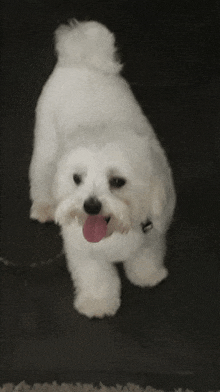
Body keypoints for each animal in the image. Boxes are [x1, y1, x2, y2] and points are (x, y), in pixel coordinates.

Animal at [29, 19, 176, 316]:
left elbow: (146, 254)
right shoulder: (82, 248)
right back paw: (44, 206)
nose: (91, 206)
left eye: (117, 181)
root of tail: (83, 60)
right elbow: (95, 275)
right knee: (41, 175)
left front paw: (147, 275)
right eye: (77, 178)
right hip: (46, 147)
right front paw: (97, 303)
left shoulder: (154, 228)